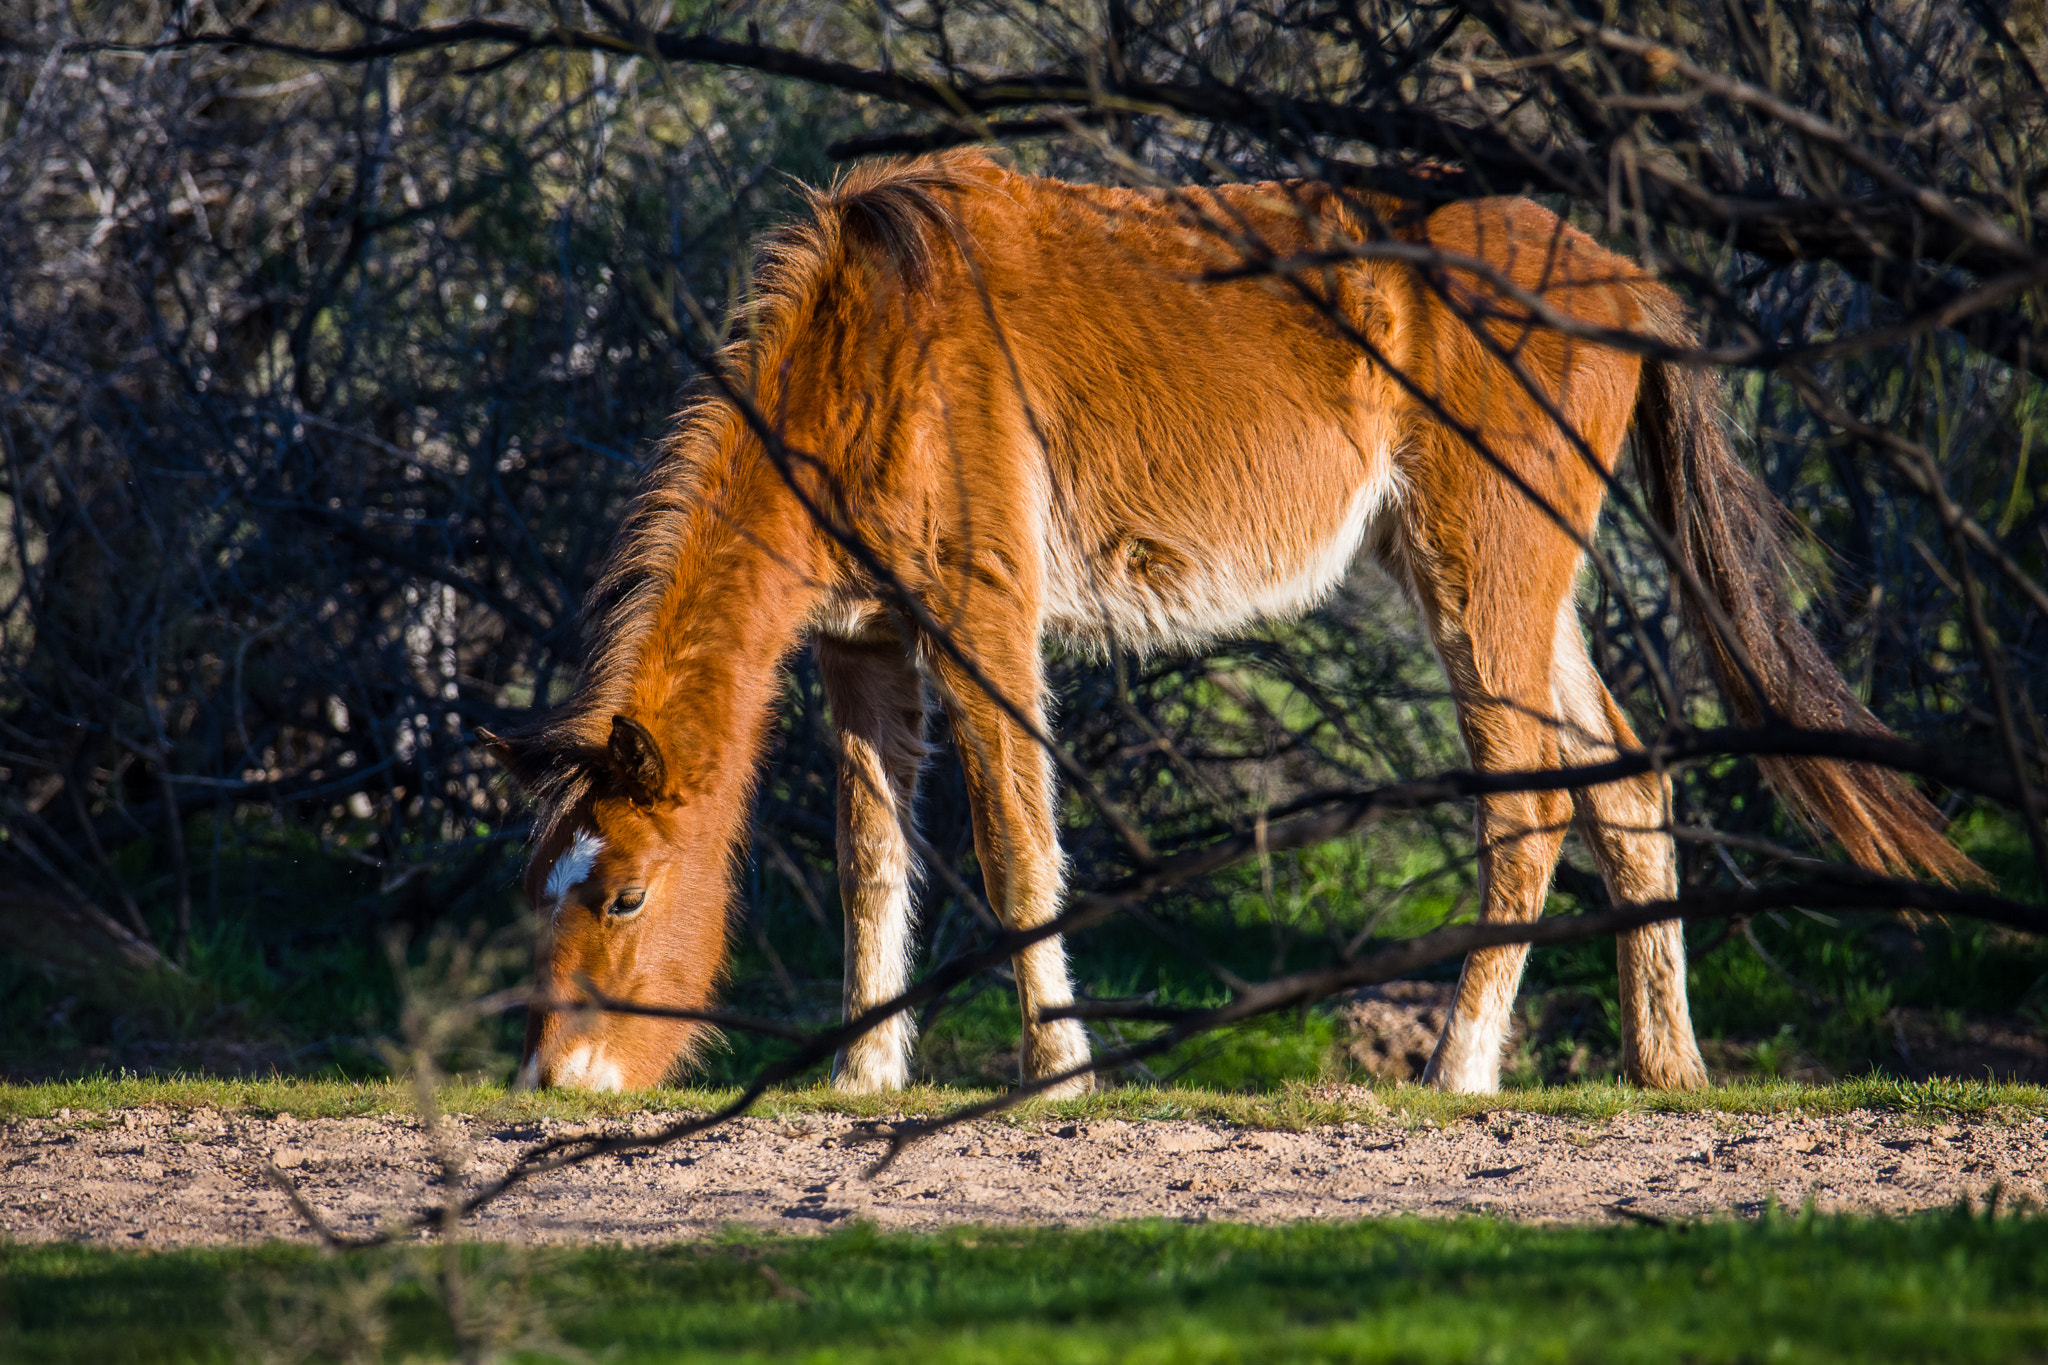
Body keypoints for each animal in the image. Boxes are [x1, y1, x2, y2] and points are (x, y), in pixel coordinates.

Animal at [487, 149, 1974, 1096]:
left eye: (625, 893)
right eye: (538, 891)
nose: (559, 1079)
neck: (880, 343)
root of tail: (1625, 285)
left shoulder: (985, 614)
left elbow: (1016, 848)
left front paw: (1059, 1073)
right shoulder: (864, 644)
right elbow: (873, 862)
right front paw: (863, 1075)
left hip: (1479, 581)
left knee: (1531, 807)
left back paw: (1457, 1069)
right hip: (1516, 589)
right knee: (1629, 788)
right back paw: (1663, 1064)